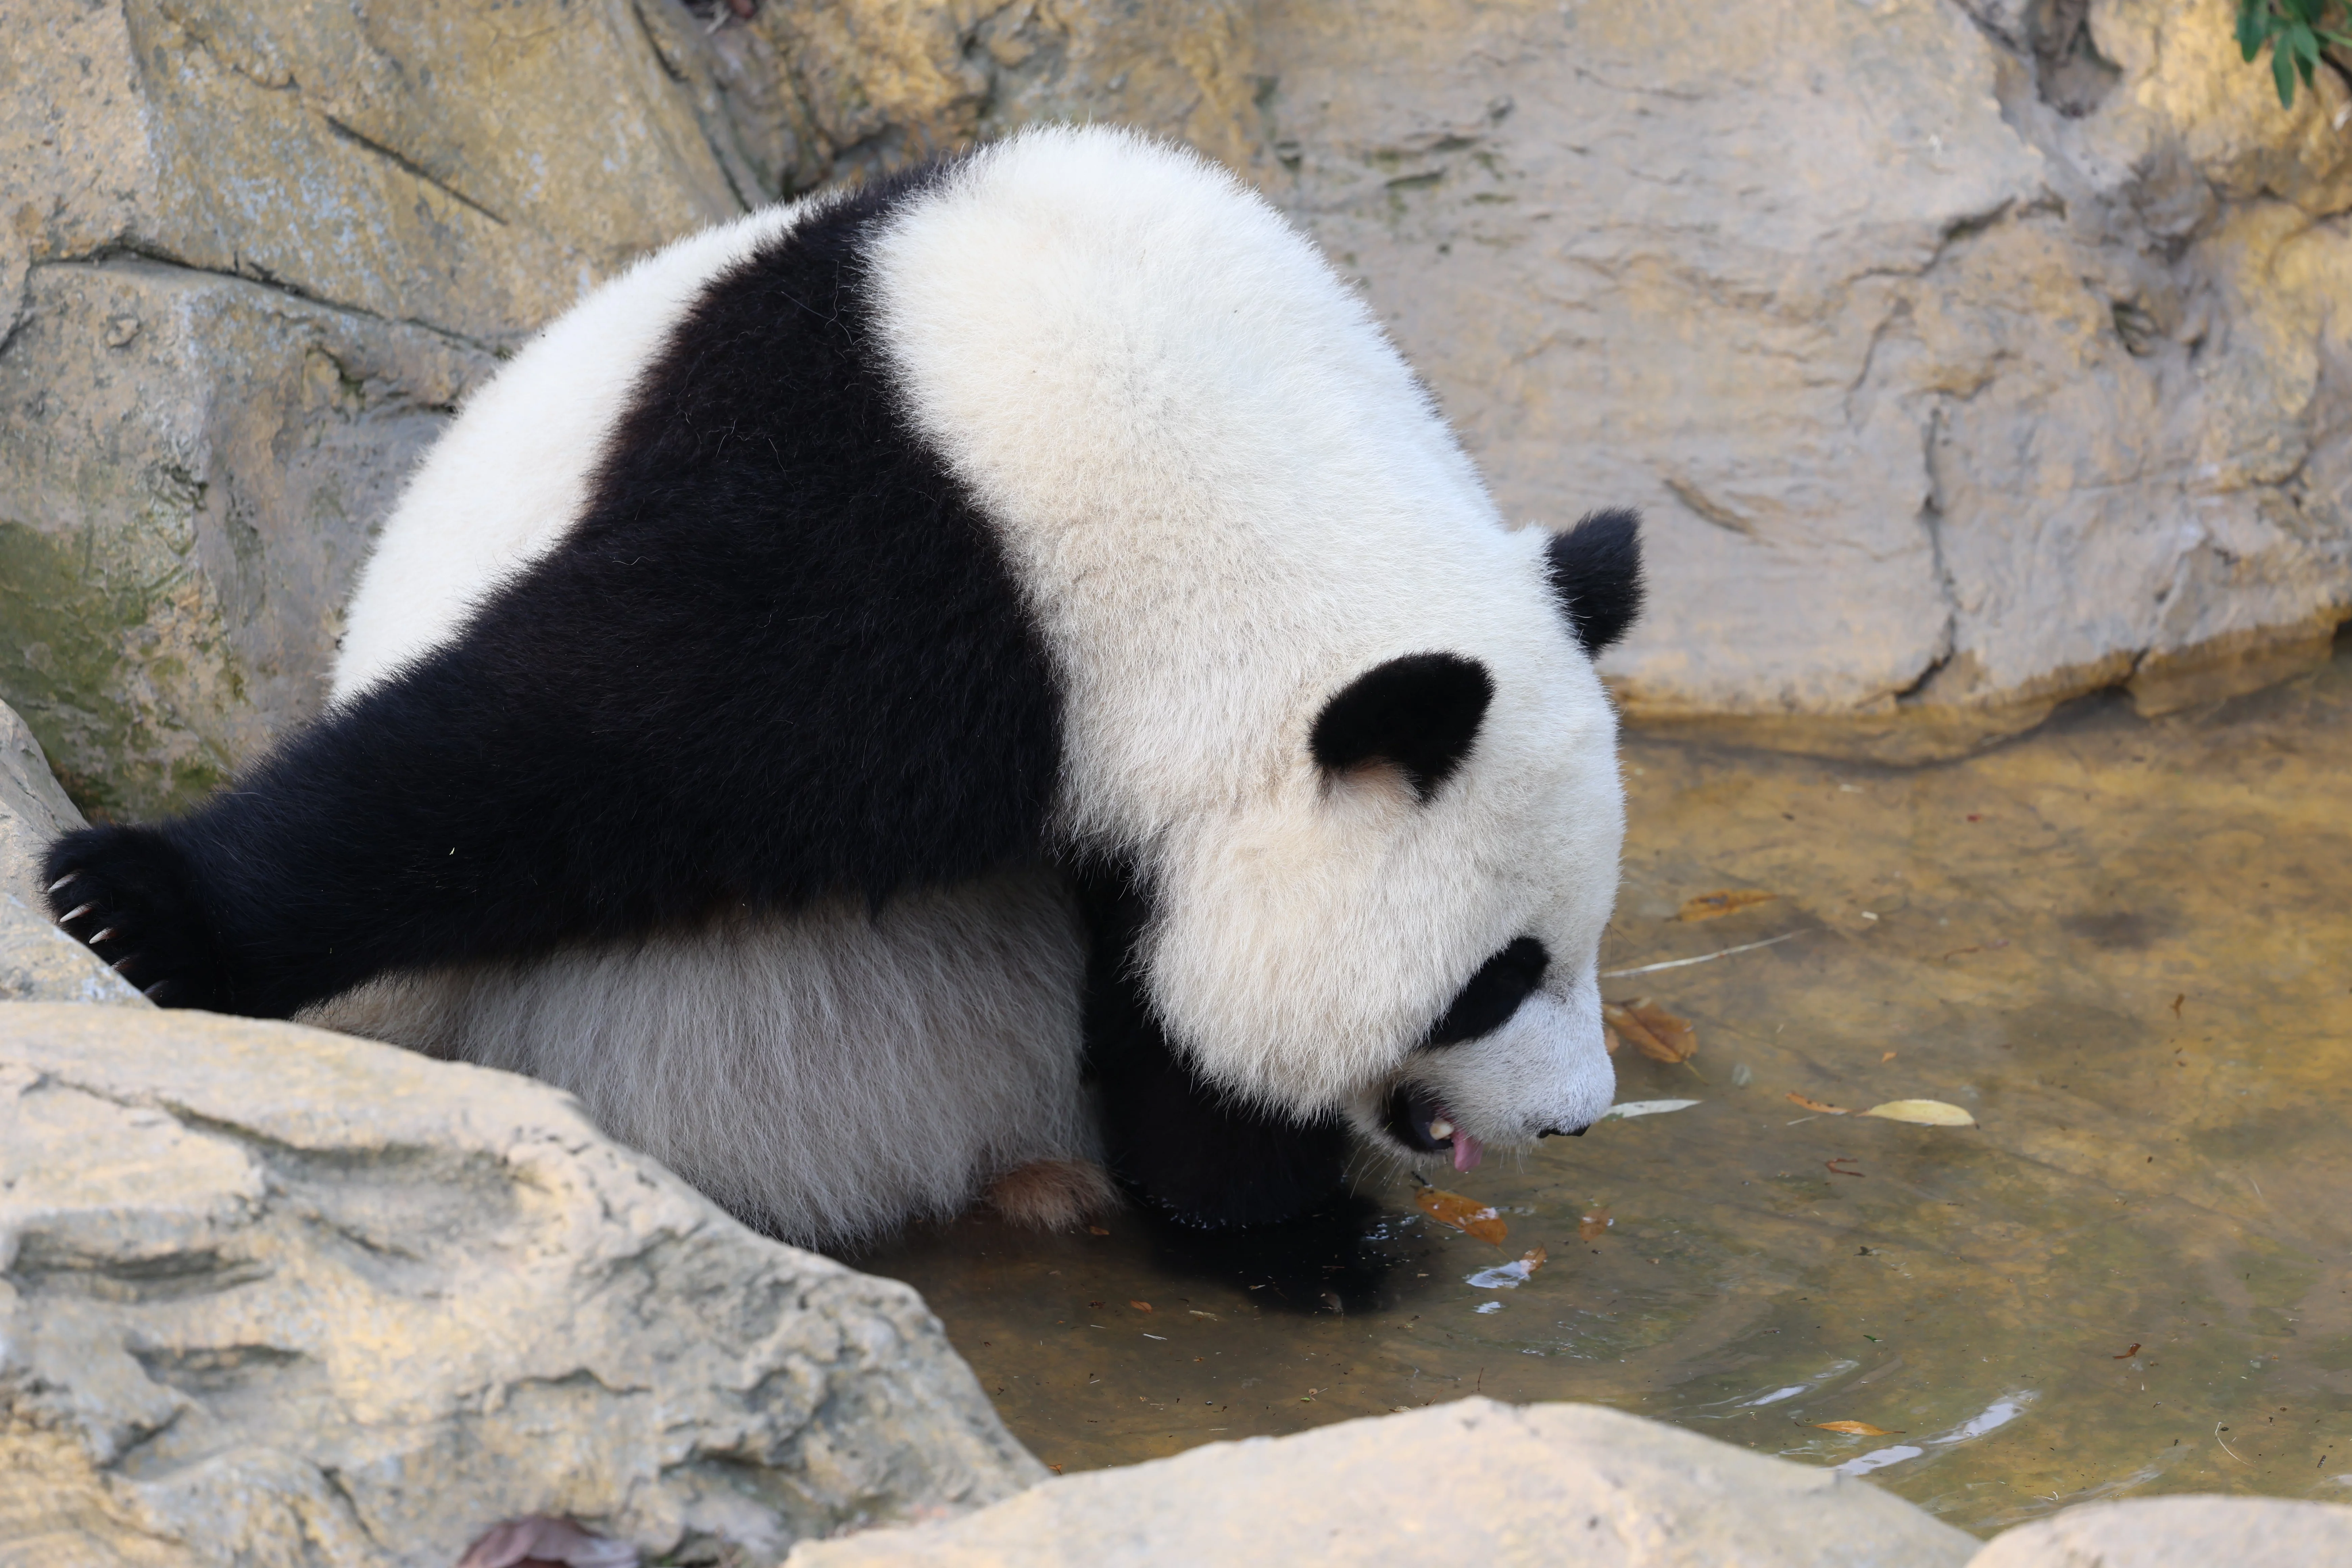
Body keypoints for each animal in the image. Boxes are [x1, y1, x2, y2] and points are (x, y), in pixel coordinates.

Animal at [44, 126, 1643, 1252]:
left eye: (1582, 941)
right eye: (1498, 973)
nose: (1577, 1120)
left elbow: (1168, 991)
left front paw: (1273, 1225)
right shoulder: (907, 555)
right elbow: (553, 746)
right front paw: (133, 906)